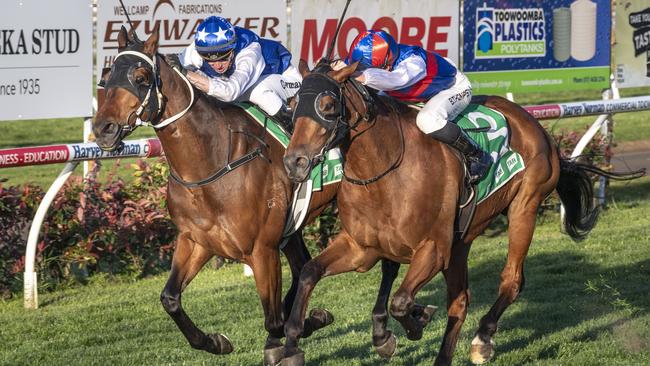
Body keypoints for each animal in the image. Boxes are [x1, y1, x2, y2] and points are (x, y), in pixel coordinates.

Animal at [92, 26, 350, 366]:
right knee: (301, 267)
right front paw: (215, 341)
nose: (103, 129)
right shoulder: (197, 240)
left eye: (141, 76)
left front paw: (286, 340)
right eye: (107, 76)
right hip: (290, 226)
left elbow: (272, 319)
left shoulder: (261, 250)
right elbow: (170, 298)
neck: (212, 162)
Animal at [280, 61, 640, 364]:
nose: (294, 162)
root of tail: (533, 124)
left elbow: (400, 302)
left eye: (327, 105)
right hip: (462, 240)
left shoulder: (432, 250)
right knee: (460, 300)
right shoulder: (362, 248)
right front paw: (293, 340)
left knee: (511, 281)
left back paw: (483, 339)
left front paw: (417, 321)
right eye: (292, 107)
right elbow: (310, 271)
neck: (384, 171)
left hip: (524, 207)